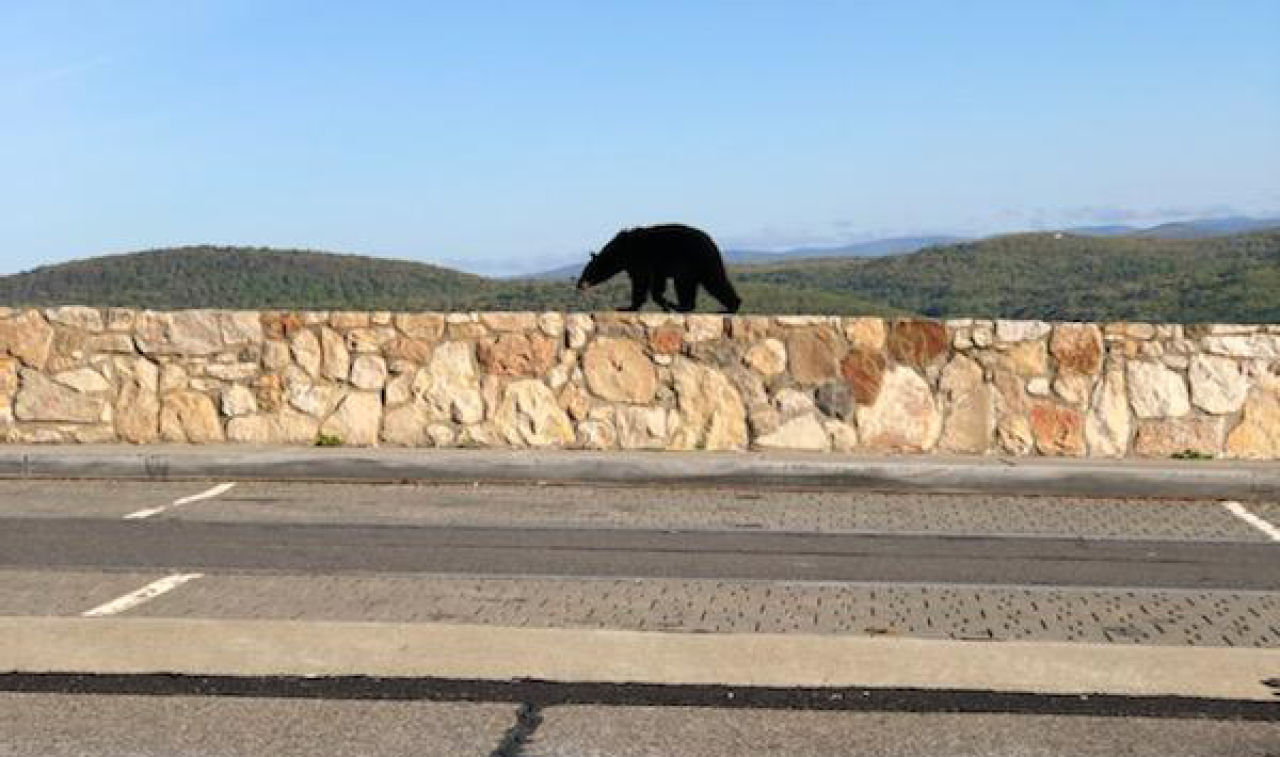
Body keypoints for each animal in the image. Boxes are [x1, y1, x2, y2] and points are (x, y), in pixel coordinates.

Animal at [576, 223, 742, 313]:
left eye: (586, 271)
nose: (579, 284)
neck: (621, 251)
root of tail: (713, 244)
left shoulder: (642, 259)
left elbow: (642, 282)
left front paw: (629, 307)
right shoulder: (649, 266)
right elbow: (650, 284)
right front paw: (661, 303)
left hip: (696, 261)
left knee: (710, 282)